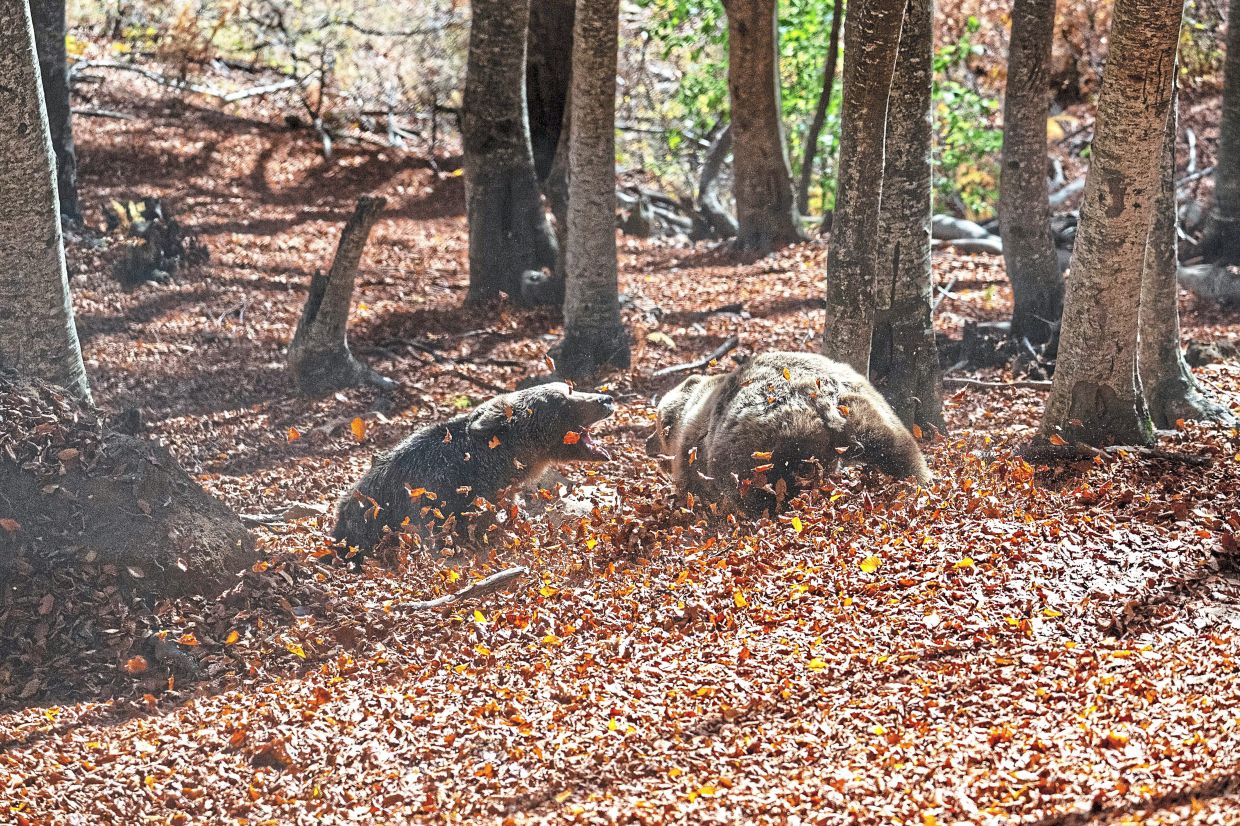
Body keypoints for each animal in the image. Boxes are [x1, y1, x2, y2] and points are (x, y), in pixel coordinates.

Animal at [646, 351, 931, 514]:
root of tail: (821, 397)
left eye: (656, 425)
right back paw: (920, 482)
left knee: (765, 487)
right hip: (869, 408)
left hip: (767, 445)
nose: (648, 444)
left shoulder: (693, 452)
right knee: (902, 452)